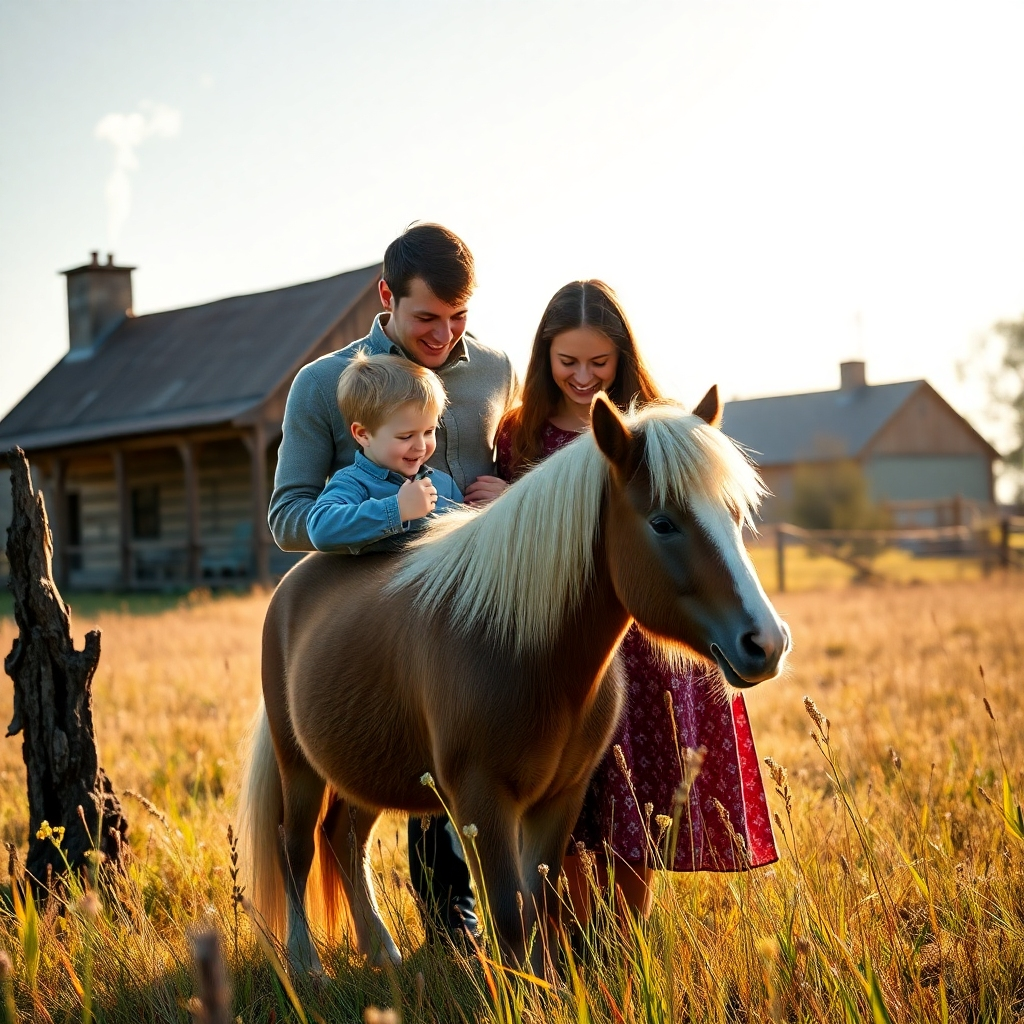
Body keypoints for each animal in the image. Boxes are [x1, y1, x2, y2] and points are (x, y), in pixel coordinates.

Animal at [239, 388, 790, 974]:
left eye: (734, 515)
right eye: (663, 523)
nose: (766, 642)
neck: (519, 646)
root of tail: (292, 585)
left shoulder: (560, 798)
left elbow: (538, 900)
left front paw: (549, 980)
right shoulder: (483, 803)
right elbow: (509, 911)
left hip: (367, 765)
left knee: (343, 838)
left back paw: (382, 951)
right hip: (299, 764)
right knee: (296, 846)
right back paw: (305, 965)